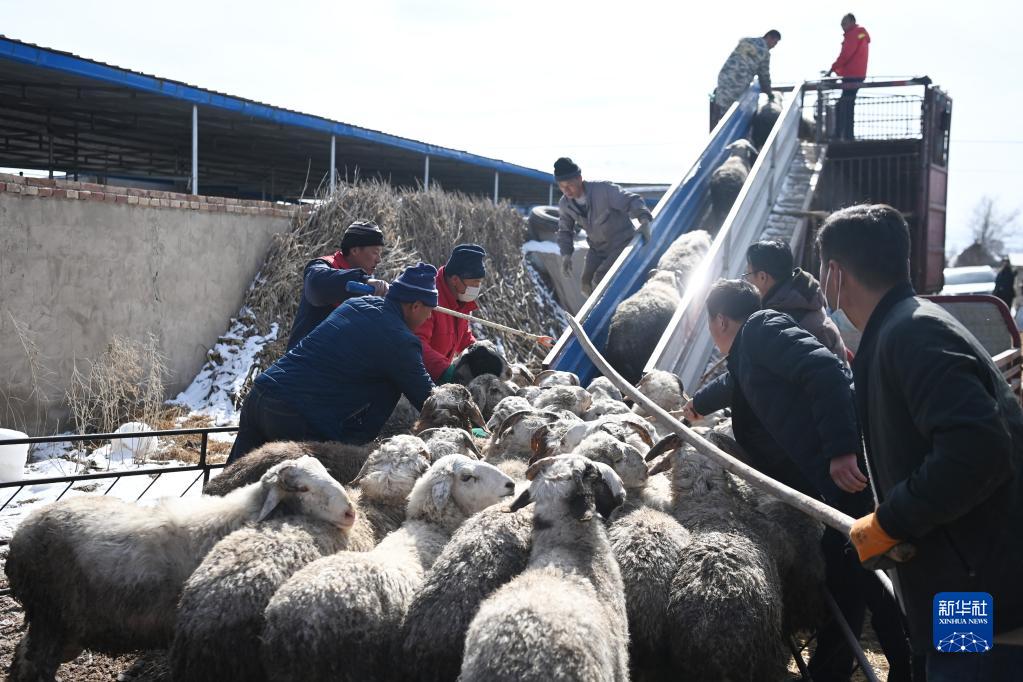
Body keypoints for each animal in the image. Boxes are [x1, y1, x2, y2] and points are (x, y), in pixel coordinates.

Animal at [6, 456, 353, 682]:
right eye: (302, 488)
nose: (350, 512)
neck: (239, 515)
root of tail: (22, 532)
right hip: (50, 615)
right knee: (35, 664)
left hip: (64, 624)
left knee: (24, 654)